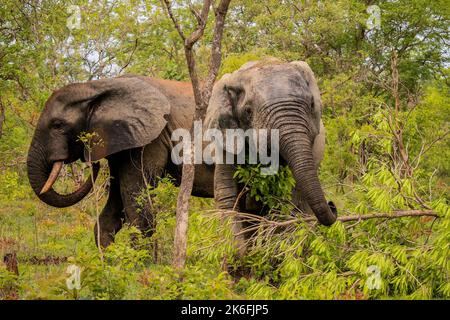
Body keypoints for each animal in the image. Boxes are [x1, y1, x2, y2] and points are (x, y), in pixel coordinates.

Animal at [26, 75, 216, 248]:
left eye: (58, 125)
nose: (93, 164)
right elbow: (114, 207)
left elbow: (137, 206)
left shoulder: (149, 140)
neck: (95, 87)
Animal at [205, 58, 338, 251]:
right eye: (248, 111)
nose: (332, 205)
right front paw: (239, 255)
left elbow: (285, 200)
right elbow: (226, 193)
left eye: (311, 105)